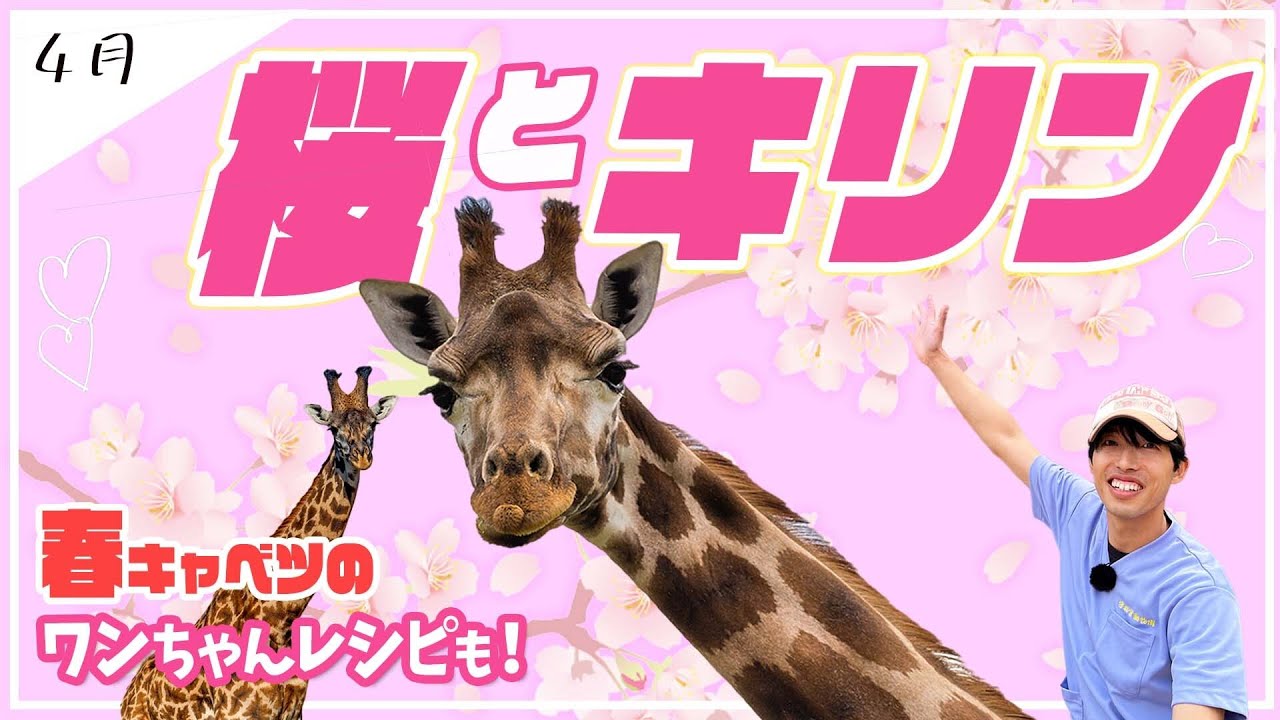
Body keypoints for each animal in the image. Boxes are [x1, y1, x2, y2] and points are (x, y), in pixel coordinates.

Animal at [120, 367, 397, 720]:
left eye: (373, 423)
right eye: (333, 428)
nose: (362, 458)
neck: (280, 620)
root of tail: (128, 694)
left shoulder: (293, 711)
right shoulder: (238, 713)